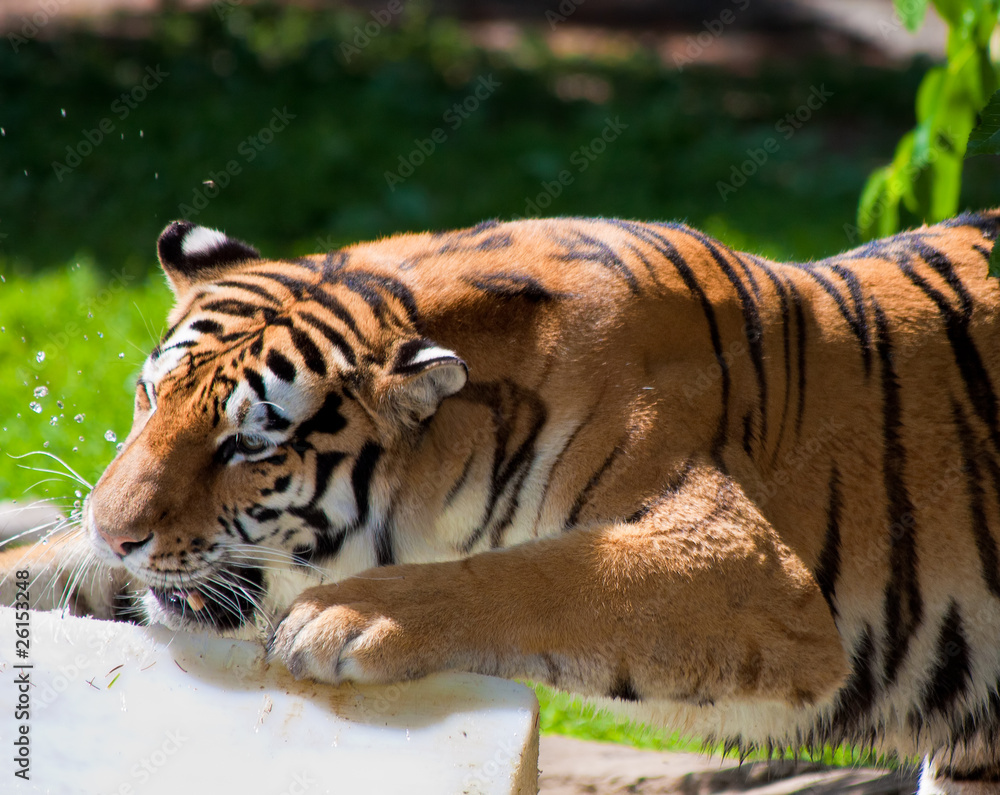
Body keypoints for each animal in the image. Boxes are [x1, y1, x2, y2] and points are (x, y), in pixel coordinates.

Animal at [5, 211, 1000, 793]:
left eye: (250, 443)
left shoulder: (750, 568)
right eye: (148, 397)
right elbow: (50, 565)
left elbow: (541, 576)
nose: (117, 533)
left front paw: (343, 619)